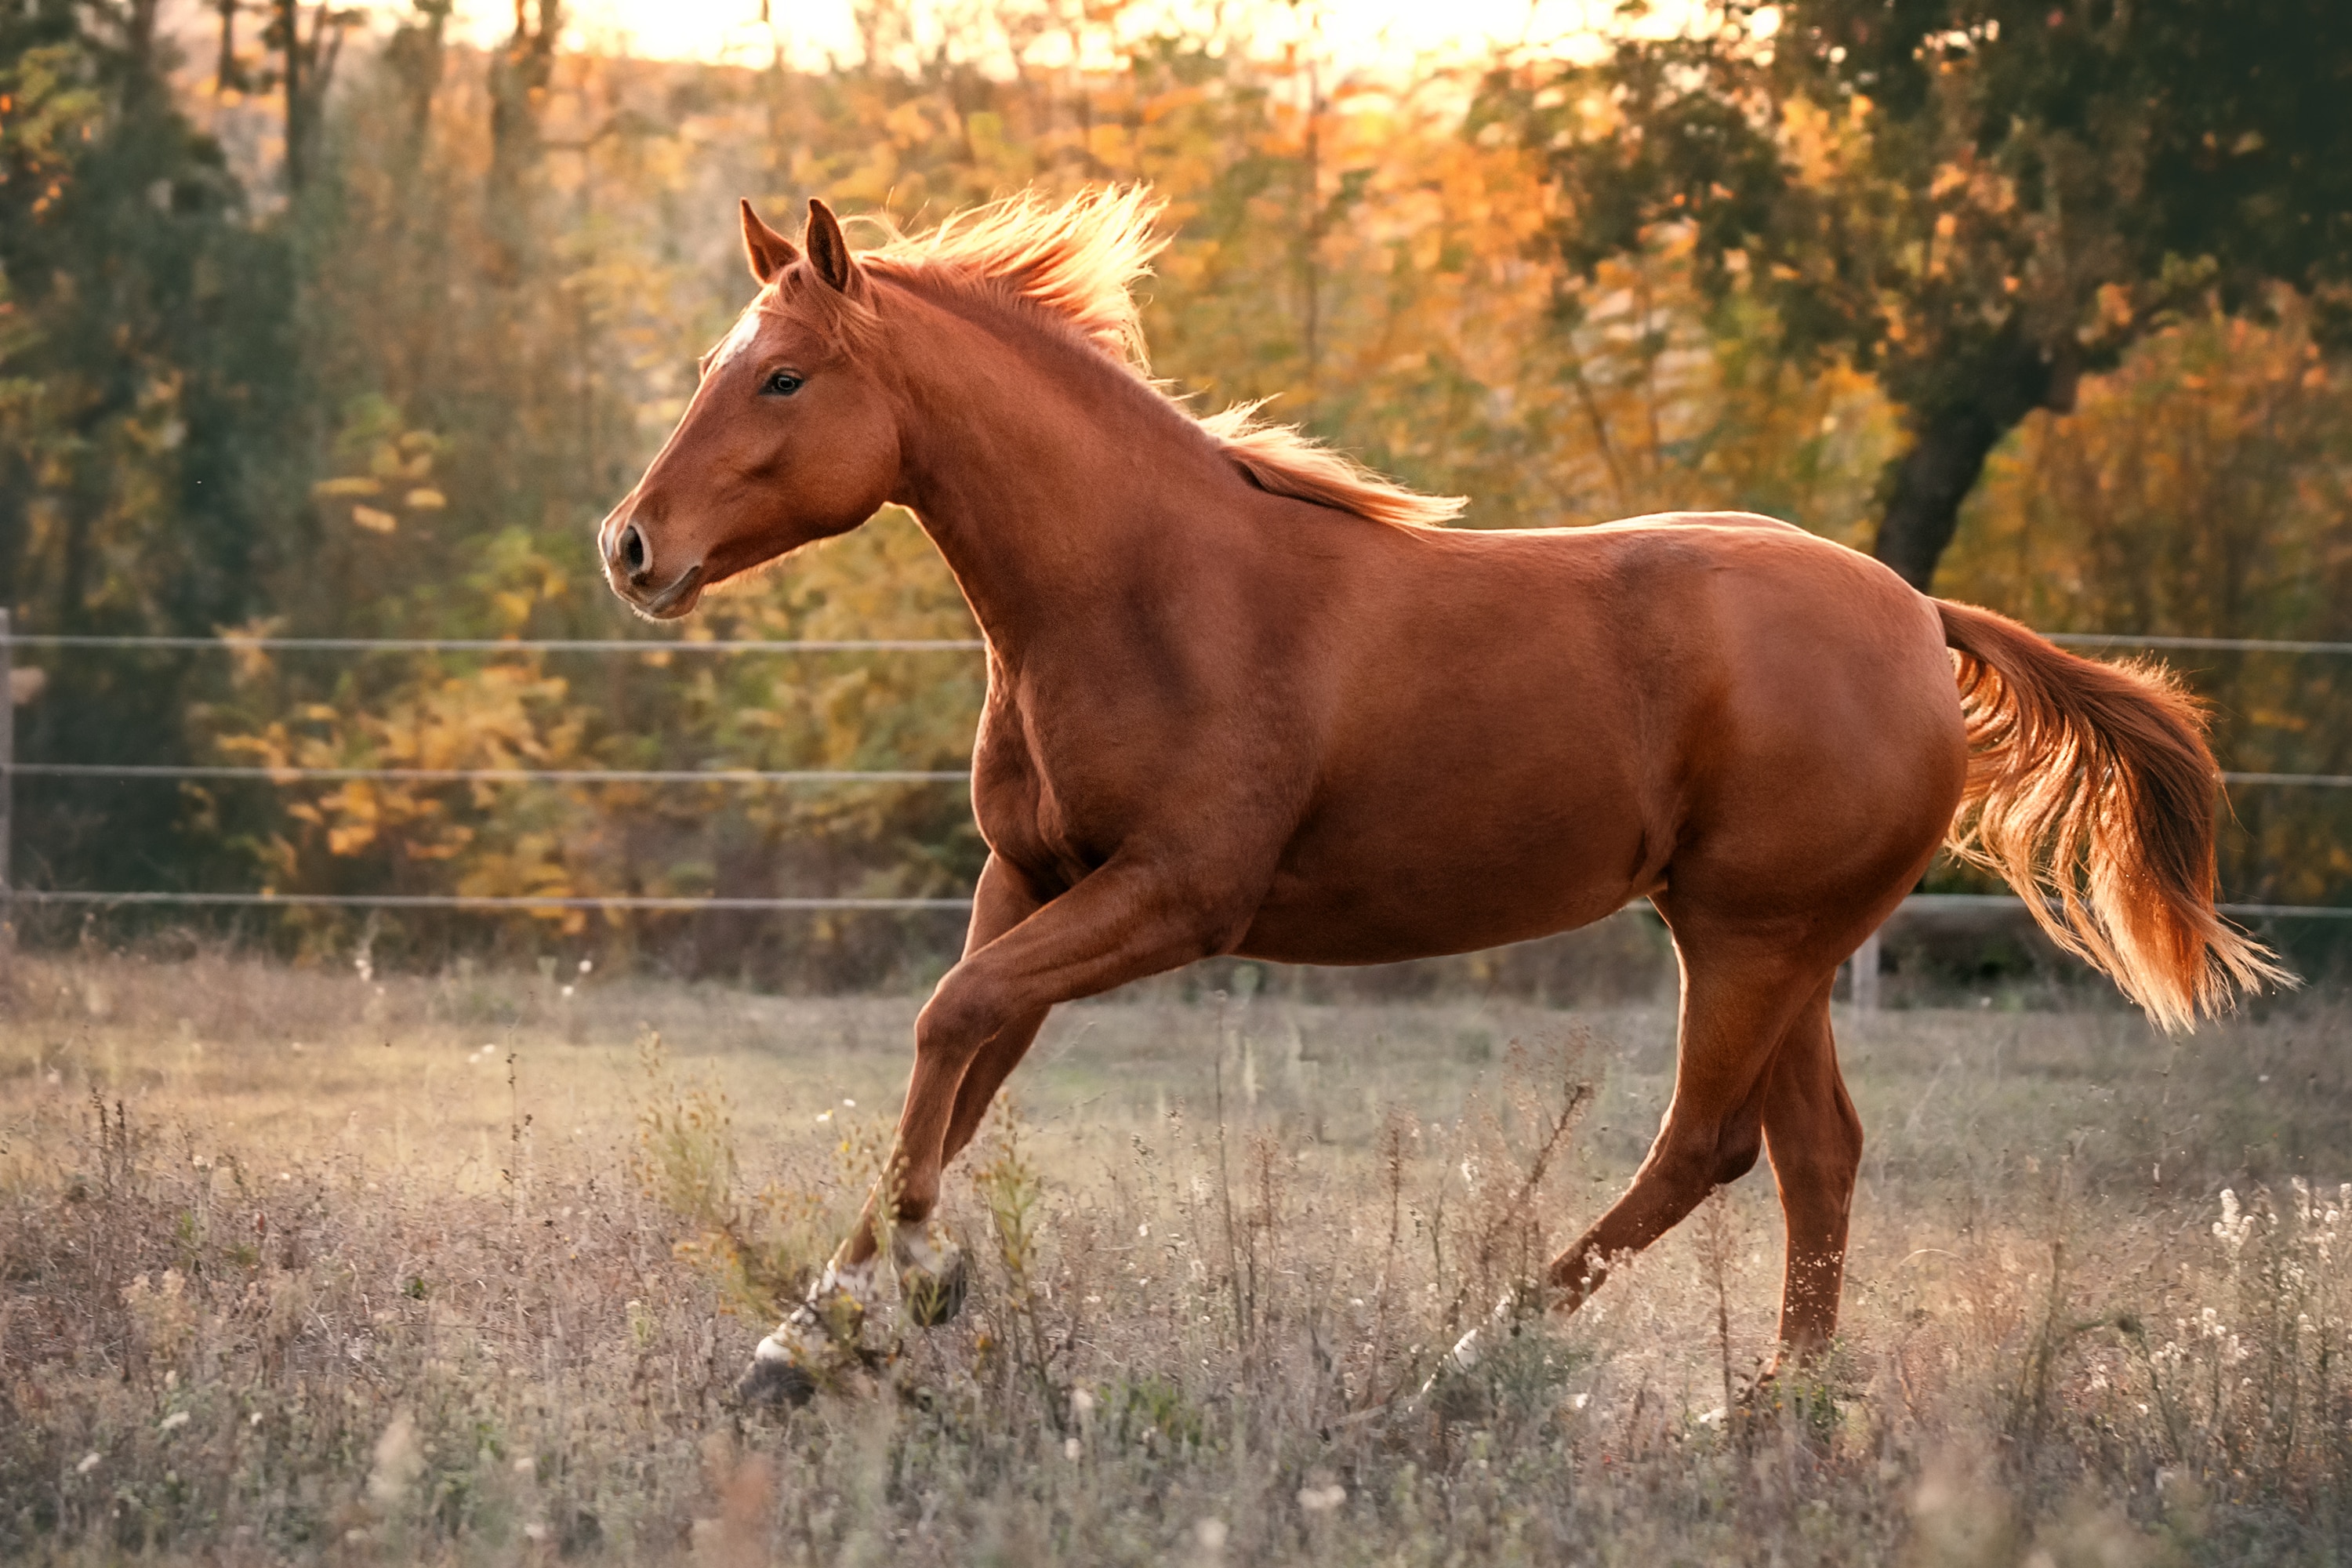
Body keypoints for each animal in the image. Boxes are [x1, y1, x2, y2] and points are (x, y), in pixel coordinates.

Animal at [597, 187, 2286, 1410]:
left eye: (785, 375)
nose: (632, 547)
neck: (1144, 592)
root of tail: (1923, 620)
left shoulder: (1178, 896)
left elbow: (953, 1025)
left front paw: (911, 1292)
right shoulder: (1030, 877)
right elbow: (956, 1058)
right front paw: (805, 1344)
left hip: (1751, 938)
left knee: (1706, 1148)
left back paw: (1466, 1370)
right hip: (1777, 943)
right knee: (1815, 1157)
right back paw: (1771, 1419)